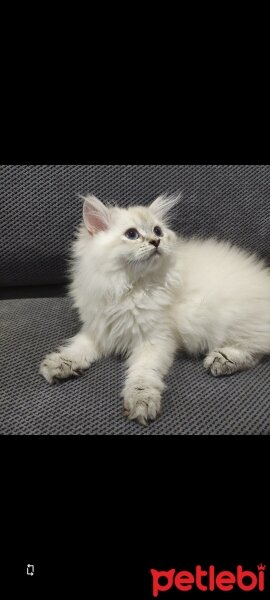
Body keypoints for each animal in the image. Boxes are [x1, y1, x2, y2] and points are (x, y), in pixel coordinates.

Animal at [39, 195, 270, 424]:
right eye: (132, 234)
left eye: (158, 231)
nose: (156, 241)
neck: (130, 288)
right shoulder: (100, 329)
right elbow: (77, 348)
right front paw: (60, 364)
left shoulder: (155, 340)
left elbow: (143, 374)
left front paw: (141, 401)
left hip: (221, 319)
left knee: (255, 348)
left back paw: (222, 360)